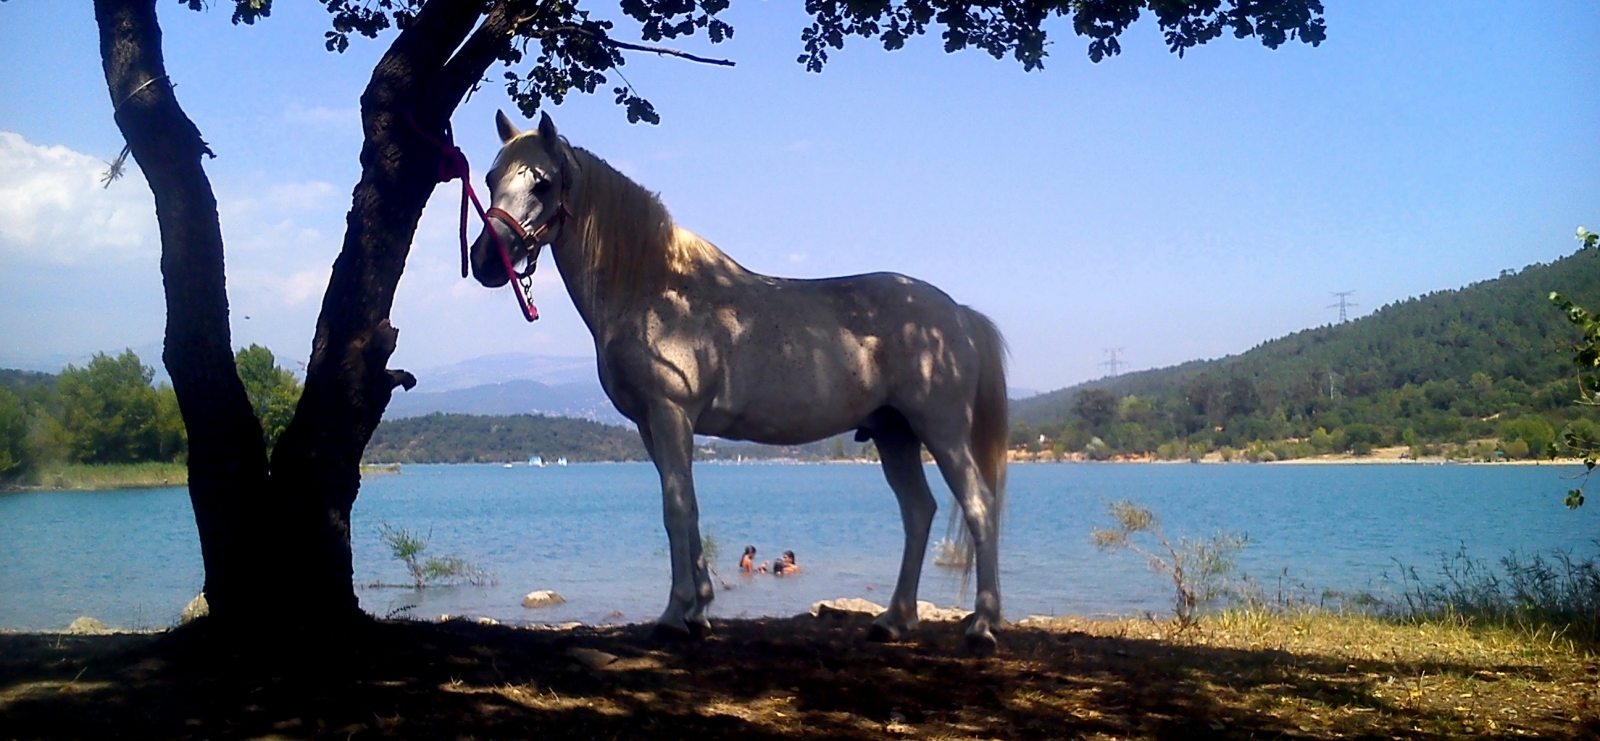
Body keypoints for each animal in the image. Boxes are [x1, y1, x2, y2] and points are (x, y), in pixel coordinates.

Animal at [467, 112, 1004, 656]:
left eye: (542, 183)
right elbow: (686, 507)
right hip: (894, 435)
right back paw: (893, 620)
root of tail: (957, 315)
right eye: (489, 179)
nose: (487, 261)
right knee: (918, 512)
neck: (654, 290)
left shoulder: (671, 413)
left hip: (942, 432)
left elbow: (676, 508)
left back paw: (981, 624)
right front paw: (698, 611)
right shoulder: (651, 426)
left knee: (979, 508)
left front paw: (674, 614)